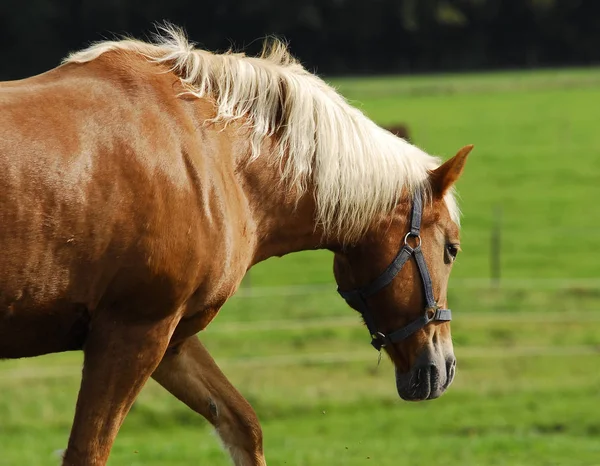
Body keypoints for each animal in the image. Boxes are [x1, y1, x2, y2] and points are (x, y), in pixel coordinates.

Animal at [0, 26, 472, 466]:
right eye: (451, 249)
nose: (444, 367)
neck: (209, 152)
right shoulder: (132, 332)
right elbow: (88, 452)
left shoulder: (172, 339)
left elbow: (243, 425)